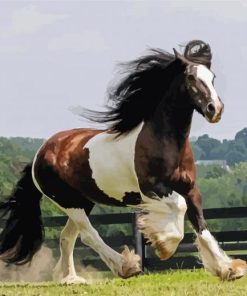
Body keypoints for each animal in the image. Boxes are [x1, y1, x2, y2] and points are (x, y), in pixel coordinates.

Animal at [0, 39, 247, 282]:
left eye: (212, 77)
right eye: (191, 78)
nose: (215, 109)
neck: (162, 141)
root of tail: (40, 154)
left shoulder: (190, 189)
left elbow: (202, 227)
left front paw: (228, 269)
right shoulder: (153, 189)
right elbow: (179, 207)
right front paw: (164, 244)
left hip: (82, 201)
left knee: (67, 236)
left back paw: (70, 278)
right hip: (68, 201)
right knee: (89, 235)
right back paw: (125, 266)